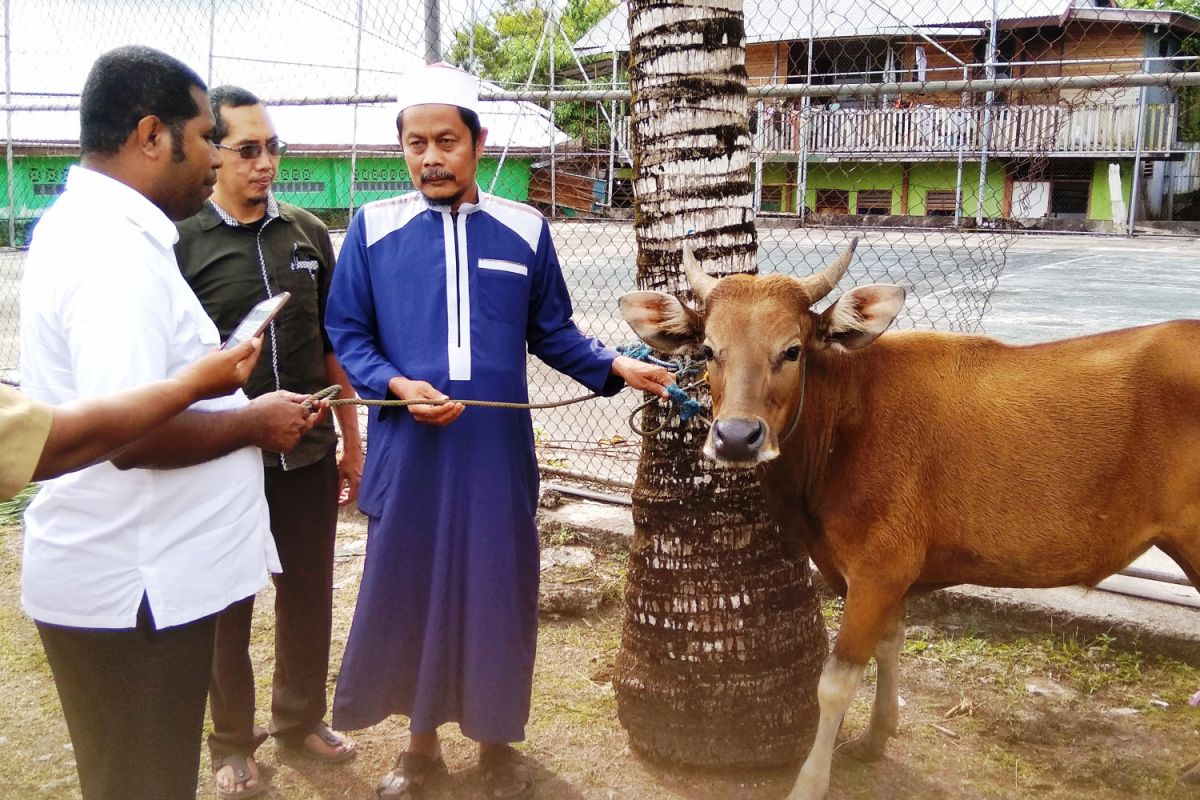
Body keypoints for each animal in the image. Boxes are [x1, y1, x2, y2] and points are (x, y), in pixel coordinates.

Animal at [619, 239, 1200, 800]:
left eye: (792, 349)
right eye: (708, 350)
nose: (737, 438)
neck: (844, 424)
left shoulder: (877, 570)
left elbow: (835, 683)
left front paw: (810, 783)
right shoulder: (888, 576)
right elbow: (890, 645)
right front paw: (876, 737)